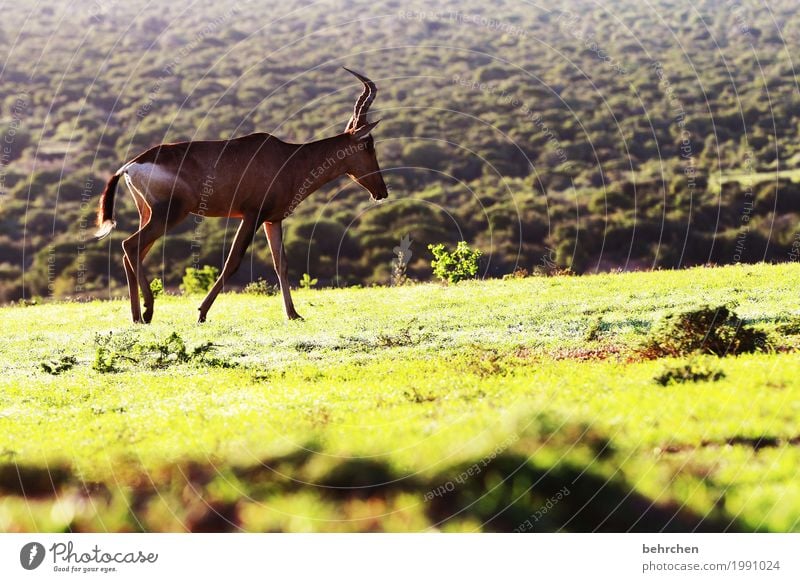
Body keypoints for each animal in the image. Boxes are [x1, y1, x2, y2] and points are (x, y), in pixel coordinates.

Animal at [94, 69, 388, 324]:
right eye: (369, 144)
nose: (382, 192)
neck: (287, 157)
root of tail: (131, 165)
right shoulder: (251, 216)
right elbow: (232, 261)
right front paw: (201, 312)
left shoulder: (272, 220)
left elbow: (281, 264)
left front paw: (293, 314)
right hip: (170, 214)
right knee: (130, 245)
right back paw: (146, 311)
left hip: (149, 214)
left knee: (132, 252)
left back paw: (139, 316)